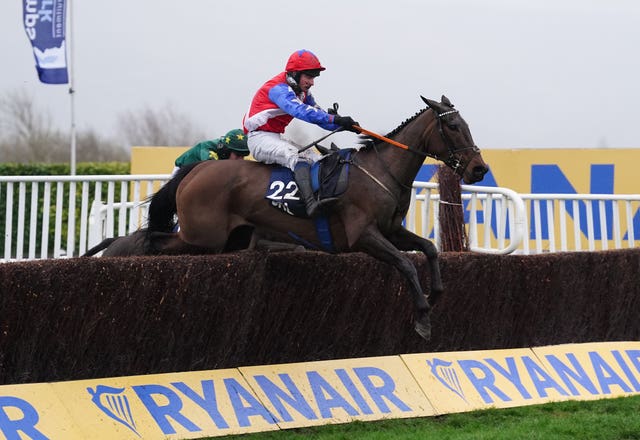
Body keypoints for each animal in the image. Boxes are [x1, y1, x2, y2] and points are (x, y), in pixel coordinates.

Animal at [145, 96, 488, 340]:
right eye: (453, 126)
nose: (479, 169)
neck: (381, 171)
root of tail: (197, 169)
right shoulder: (364, 235)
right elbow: (405, 264)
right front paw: (422, 316)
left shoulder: (391, 230)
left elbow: (429, 249)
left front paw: (434, 296)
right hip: (202, 237)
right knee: (155, 242)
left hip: (230, 237)